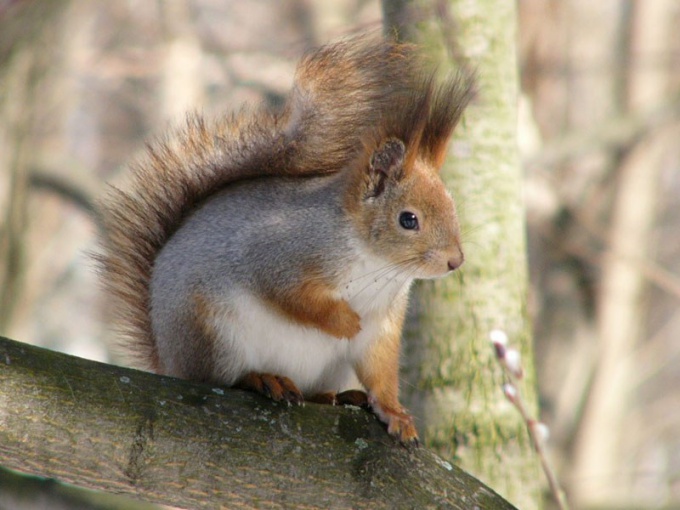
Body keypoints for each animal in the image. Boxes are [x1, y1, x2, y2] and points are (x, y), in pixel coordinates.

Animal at [98, 34, 476, 442]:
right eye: (408, 220)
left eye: (452, 205)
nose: (455, 261)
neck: (375, 264)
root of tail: (170, 361)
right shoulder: (278, 253)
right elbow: (290, 296)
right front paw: (344, 321)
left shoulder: (383, 324)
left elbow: (380, 370)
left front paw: (393, 412)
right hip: (213, 333)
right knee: (221, 378)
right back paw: (264, 379)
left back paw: (339, 396)